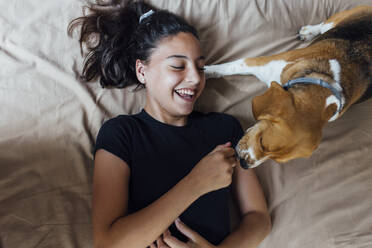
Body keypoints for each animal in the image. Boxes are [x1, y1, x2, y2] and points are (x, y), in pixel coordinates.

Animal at [206, 5, 372, 169]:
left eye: (275, 159)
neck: (323, 83)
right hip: (336, 20)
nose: (244, 164)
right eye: (262, 141)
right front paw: (206, 71)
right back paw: (308, 31)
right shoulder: (259, 62)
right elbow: (228, 68)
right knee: (323, 25)